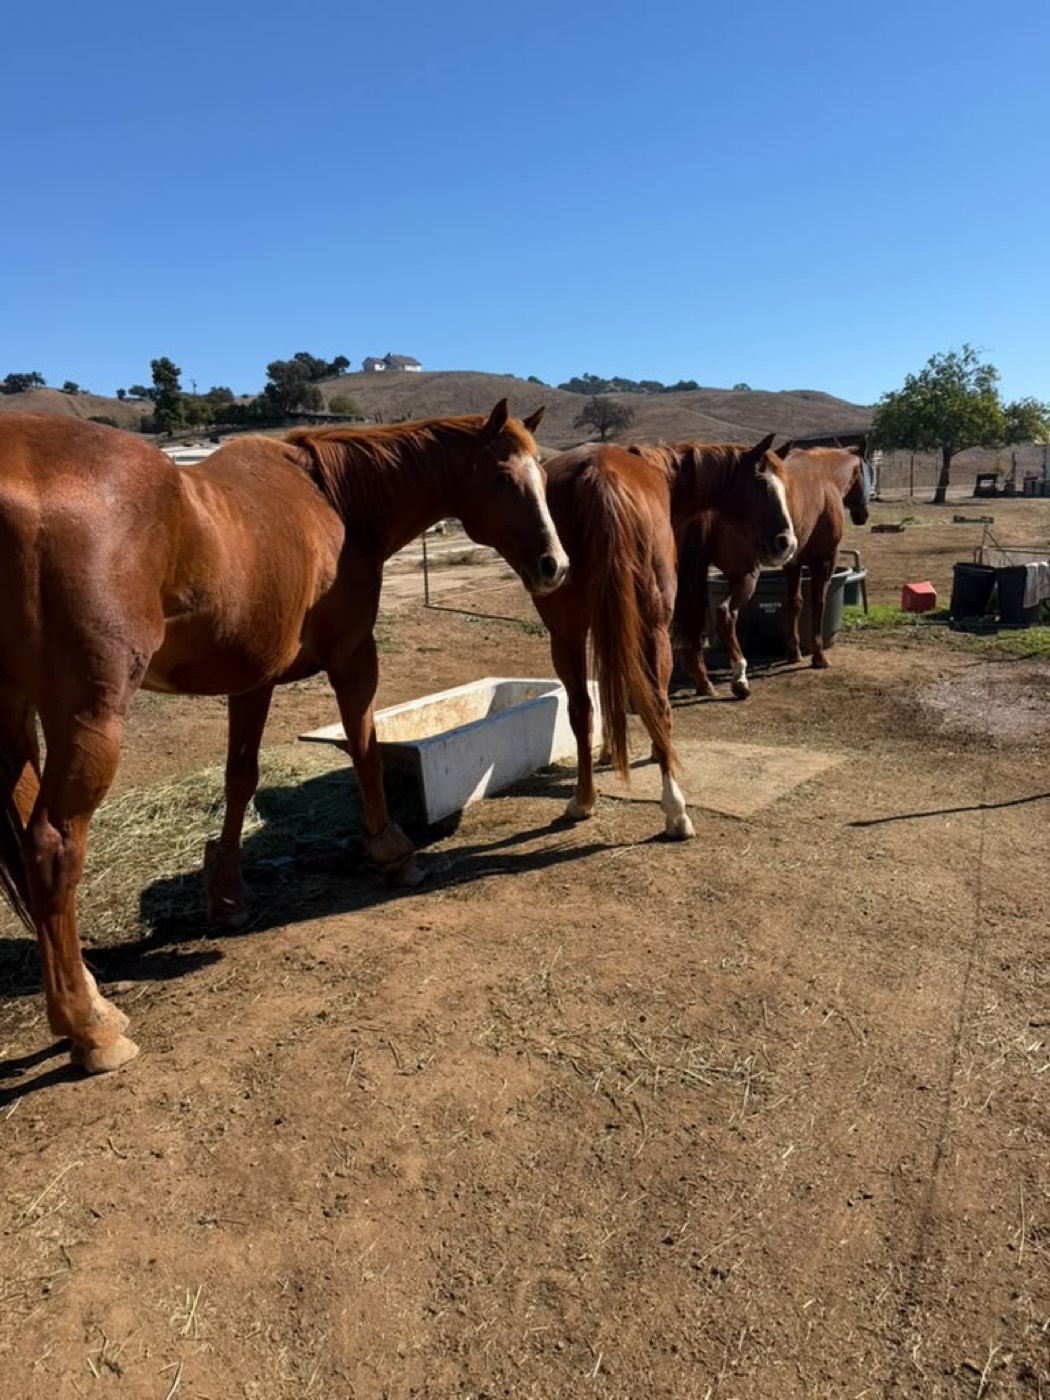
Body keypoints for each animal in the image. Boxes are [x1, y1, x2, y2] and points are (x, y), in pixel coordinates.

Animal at [0, 402, 568, 1073]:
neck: (337, 501)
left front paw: (226, 896)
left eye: (543, 475)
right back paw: (90, 1029)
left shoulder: (253, 679)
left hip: (16, 711)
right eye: (505, 477)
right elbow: (365, 751)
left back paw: (87, 997)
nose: (555, 566)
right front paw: (392, 853)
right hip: (87, 714)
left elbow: (240, 779)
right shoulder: (354, 657)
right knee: (51, 848)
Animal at [531, 435, 796, 836]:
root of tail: (598, 476)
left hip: (565, 634)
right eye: (761, 482)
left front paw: (612, 750)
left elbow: (610, 685)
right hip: (653, 626)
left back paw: (584, 799)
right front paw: (653, 751)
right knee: (660, 703)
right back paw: (675, 810)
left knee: (581, 709)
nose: (787, 544)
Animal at [672, 441, 870, 698]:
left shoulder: (792, 562)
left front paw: (794, 652)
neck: (825, 476)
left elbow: (795, 602)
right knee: (726, 614)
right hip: (745, 576)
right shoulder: (825, 560)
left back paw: (703, 680)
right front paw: (818, 655)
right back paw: (739, 678)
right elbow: (818, 602)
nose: (862, 515)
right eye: (866, 471)